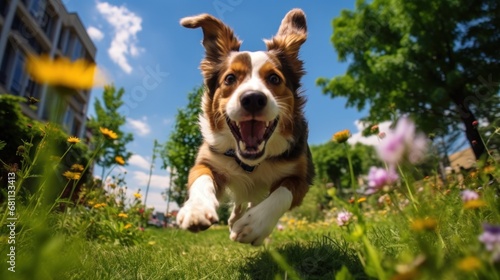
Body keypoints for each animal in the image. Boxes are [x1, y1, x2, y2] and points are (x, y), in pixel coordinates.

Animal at [177, 8, 312, 245]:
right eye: (230, 78)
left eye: (274, 78)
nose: (253, 99)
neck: (252, 163)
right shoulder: (207, 160)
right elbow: (202, 176)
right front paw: (196, 209)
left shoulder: (302, 176)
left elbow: (282, 193)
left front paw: (254, 225)